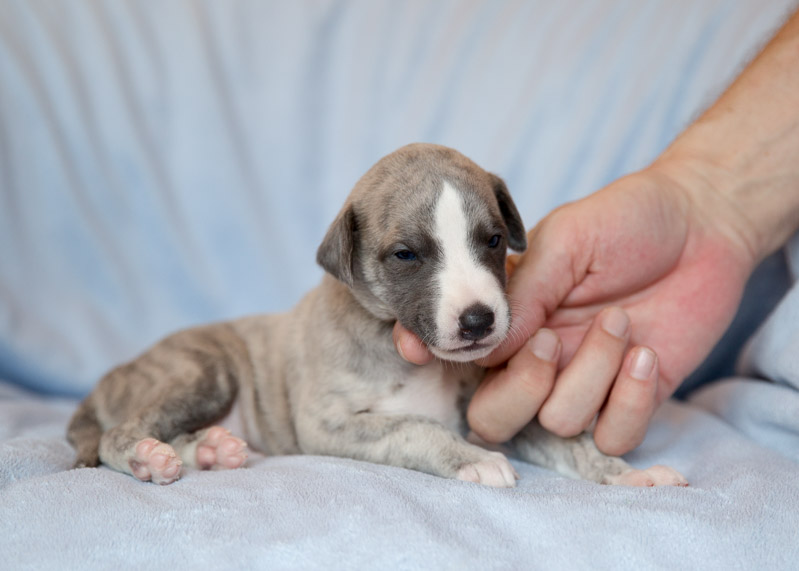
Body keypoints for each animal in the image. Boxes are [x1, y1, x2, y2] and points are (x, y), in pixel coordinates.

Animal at [67, 143, 688, 488]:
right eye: (406, 254)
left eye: (492, 240)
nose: (479, 321)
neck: (410, 353)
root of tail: (104, 383)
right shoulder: (329, 422)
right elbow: (413, 427)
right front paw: (471, 459)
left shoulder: (494, 410)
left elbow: (576, 445)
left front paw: (631, 472)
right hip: (203, 373)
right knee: (119, 435)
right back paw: (149, 456)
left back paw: (213, 451)